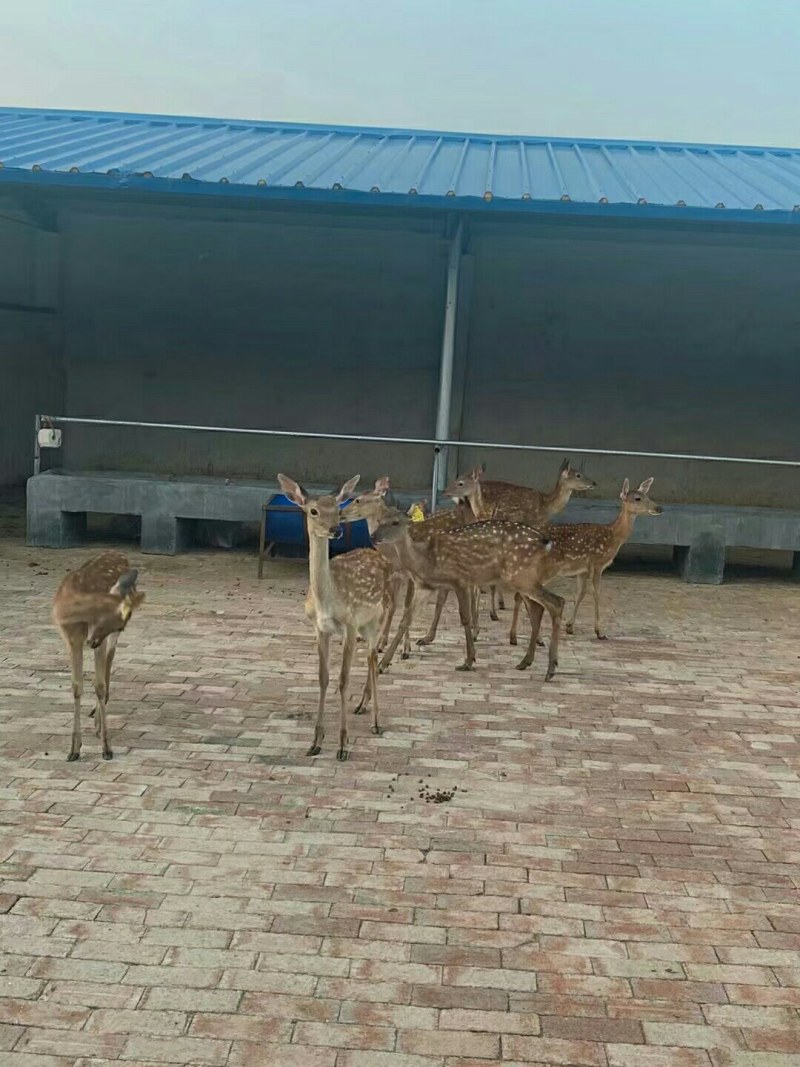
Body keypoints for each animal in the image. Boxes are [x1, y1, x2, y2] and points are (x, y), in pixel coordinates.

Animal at [52, 551, 145, 762]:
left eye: (120, 625)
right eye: (100, 614)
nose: (92, 641)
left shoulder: (99, 640)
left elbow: (99, 685)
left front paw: (107, 748)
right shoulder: (71, 638)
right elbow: (76, 686)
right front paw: (74, 749)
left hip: (109, 642)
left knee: (109, 662)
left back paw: (98, 722)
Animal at [277, 473, 396, 761]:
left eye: (337, 508)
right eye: (313, 510)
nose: (336, 530)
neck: (326, 602)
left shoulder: (349, 626)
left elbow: (343, 681)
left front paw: (343, 745)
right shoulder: (320, 629)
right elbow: (323, 678)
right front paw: (315, 742)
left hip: (375, 618)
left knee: (373, 659)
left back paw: (376, 721)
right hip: (364, 626)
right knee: (371, 659)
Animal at [372, 510, 563, 681]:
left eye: (395, 522)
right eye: (380, 520)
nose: (373, 536)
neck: (426, 560)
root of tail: (545, 542)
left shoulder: (460, 580)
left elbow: (465, 618)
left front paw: (469, 661)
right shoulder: (425, 587)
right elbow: (405, 620)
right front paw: (382, 664)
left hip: (519, 574)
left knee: (557, 602)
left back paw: (550, 669)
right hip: (523, 578)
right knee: (538, 608)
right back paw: (526, 662)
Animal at [508, 477, 662, 645]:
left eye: (648, 496)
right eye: (637, 498)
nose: (659, 508)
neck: (613, 537)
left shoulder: (582, 569)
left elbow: (580, 593)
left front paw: (570, 626)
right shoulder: (597, 564)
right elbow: (596, 593)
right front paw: (600, 632)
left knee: (521, 594)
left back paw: (518, 637)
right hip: (544, 568)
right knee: (525, 594)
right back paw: (535, 638)